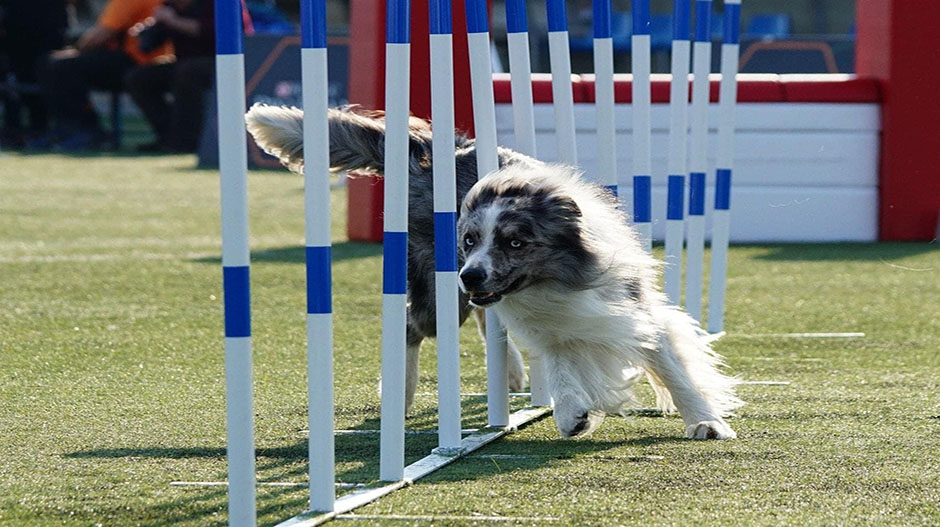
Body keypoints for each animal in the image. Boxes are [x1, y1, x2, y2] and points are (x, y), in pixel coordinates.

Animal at [242, 104, 740, 442]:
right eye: (467, 240)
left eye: (515, 242)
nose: (471, 275)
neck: (554, 281)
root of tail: (429, 152)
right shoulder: (547, 321)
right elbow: (560, 361)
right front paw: (572, 412)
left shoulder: (632, 310)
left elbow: (673, 369)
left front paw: (705, 422)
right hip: (437, 294)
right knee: (411, 325)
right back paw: (400, 395)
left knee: (482, 317)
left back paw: (512, 374)